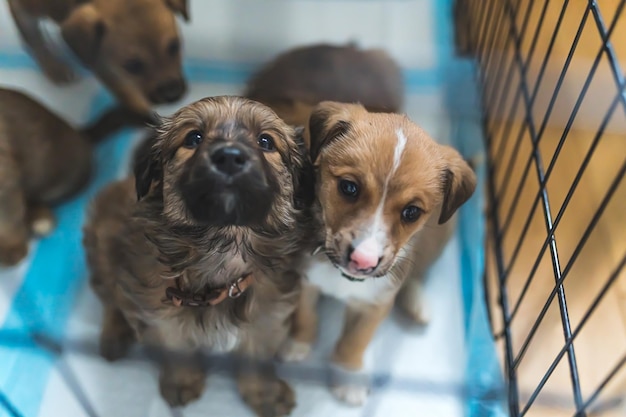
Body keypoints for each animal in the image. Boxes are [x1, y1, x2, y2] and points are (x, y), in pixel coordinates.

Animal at [84, 96, 312, 412]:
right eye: (194, 138)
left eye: (266, 141)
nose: (229, 157)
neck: (223, 244)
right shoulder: (160, 315)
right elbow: (177, 351)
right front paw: (182, 382)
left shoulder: (266, 317)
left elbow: (255, 360)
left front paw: (264, 394)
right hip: (103, 243)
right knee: (110, 297)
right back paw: (114, 334)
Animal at [280, 102, 476, 404]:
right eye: (349, 187)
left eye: (412, 212)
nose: (363, 261)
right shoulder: (304, 279)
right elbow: (305, 315)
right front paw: (298, 343)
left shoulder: (375, 304)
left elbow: (355, 340)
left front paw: (349, 375)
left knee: (417, 274)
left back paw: (416, 302)